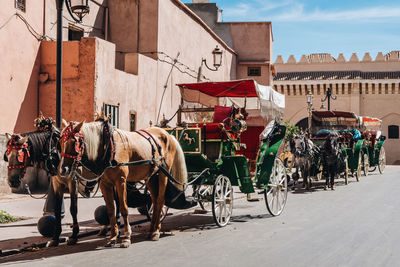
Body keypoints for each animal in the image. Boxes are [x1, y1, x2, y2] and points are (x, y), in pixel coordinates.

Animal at [58, 120, 188, 248]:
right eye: (60, 142)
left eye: (74, 142)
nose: (63, 169)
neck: (109, 147)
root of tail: (168, 135)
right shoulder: (105, 184)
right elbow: (111, 210)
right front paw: (113, 237)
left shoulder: (120, 181)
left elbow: (124, 208)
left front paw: (126, 237)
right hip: (151, 176)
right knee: (155, 201)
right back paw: (152, 229)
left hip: (163, 173)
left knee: (160, 200)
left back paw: (156, 232)